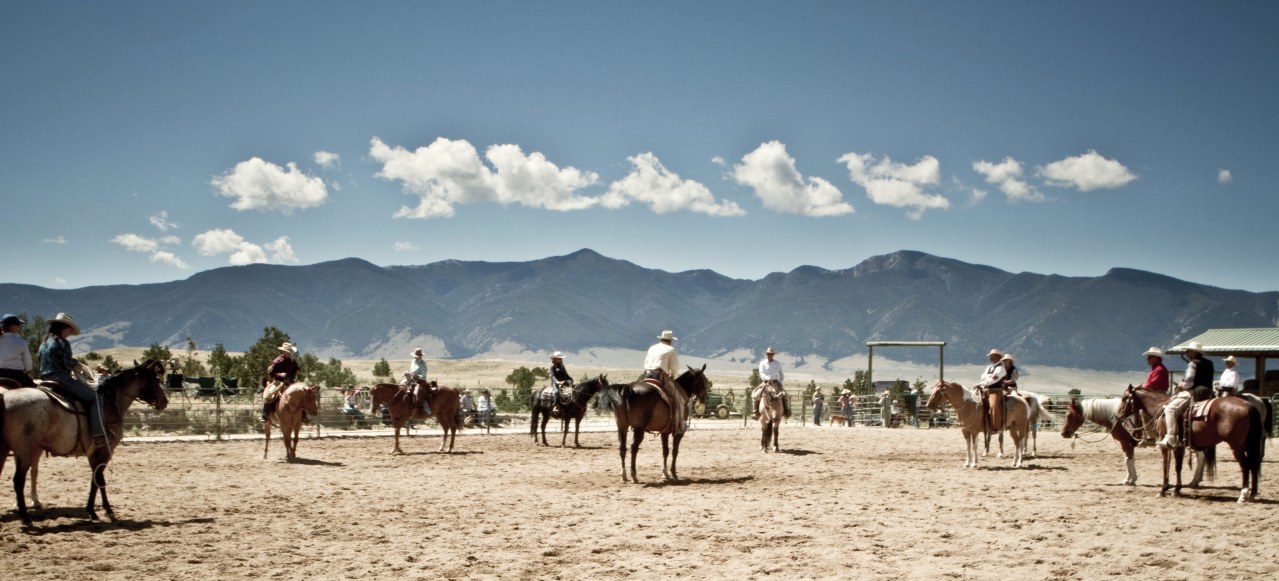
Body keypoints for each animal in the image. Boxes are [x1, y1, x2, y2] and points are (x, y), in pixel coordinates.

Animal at [0, 358, 167, 527]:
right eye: (155, 379)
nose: (164, 401)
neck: (109, 403)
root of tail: (5, 397)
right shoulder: (105, 449)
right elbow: (99, 478)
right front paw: (107, 511)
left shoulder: (93, 452)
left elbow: (96, 478)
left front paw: (92, 510)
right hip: (24, 451)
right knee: (18, 480)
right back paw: (26, 518)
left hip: (6, 449)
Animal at [1115, 383, 1263, 501]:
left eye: (1124, 399)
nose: (1118, 416)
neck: (1161, 407)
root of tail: (1249, 405)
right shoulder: (1179, 446)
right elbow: (1178, 466)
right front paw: (1176, 489)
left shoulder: (1165, 445)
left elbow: (1166, 465)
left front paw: (1163, 489)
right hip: (1249, 444)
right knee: (1254, 464)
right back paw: (1253, 493)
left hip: (1236, 445)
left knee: (1245, 465)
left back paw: (1243, 494)